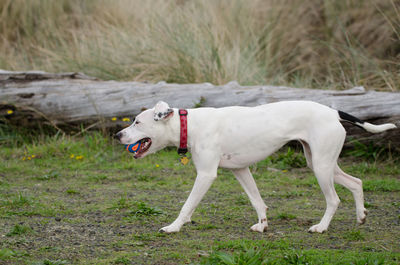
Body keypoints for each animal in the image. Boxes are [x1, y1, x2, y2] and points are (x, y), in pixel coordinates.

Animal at [114, 100, 396, 233]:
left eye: (138, 122)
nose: (117, 135)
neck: (189, 125)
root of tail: (332, 111)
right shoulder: (241, 171)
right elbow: (257, 201)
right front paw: (262, 224)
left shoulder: (205, 175)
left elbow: (187, 205)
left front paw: (173, 227)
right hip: (321, 163)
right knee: (356, 183)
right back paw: (361, 216)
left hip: (321, 168)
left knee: (334, 199)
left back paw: (322, 227)